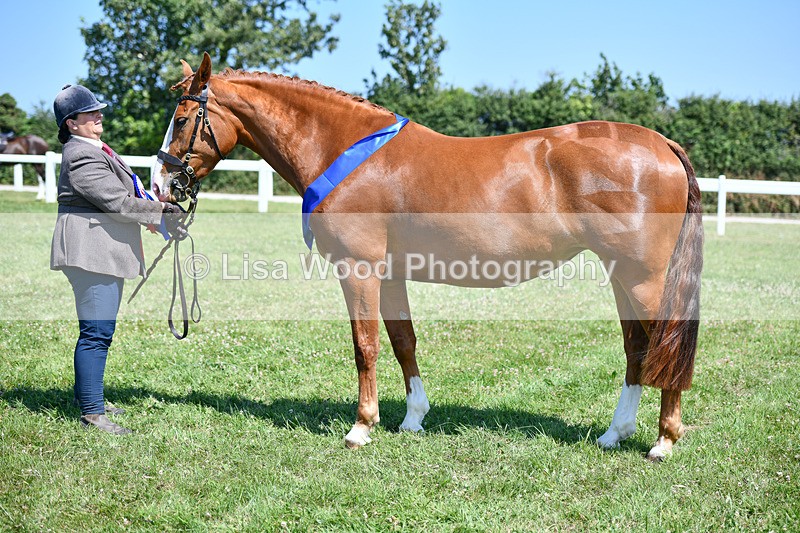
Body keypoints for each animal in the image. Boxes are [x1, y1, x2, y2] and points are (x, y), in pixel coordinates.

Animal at [153, 52, 703, 461]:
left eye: (181, 120)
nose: (161, 186)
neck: (343, 150)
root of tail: (662, 143)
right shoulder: (391, 275)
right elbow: (403, 343)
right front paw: (413, 418)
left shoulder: (359, 270)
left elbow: (365, 346)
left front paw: (361, 427)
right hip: (622, 276)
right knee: (638, 348)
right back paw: (615, 433)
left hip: (643, 278)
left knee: (664, 345)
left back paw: (663, 441)